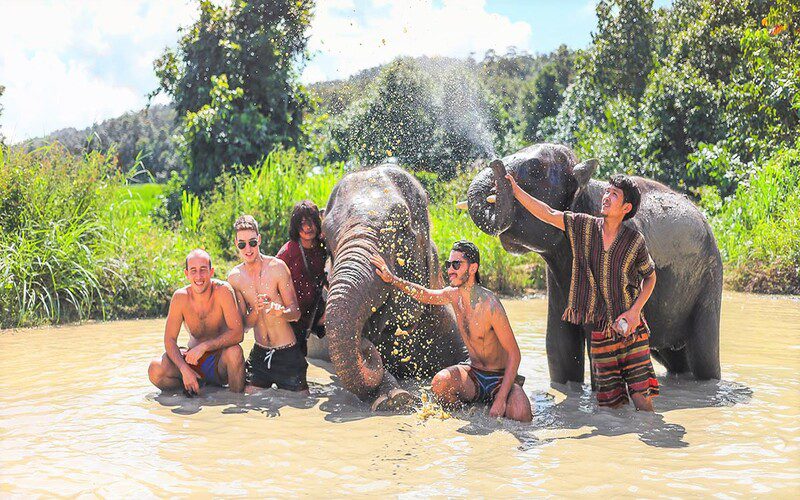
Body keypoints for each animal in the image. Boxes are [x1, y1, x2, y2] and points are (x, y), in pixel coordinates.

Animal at [465, 143, 722, 385]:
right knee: (676, 359)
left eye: (535, 169)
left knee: (704, 356)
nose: (496, 164)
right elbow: (560, 348)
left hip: (709, 280)